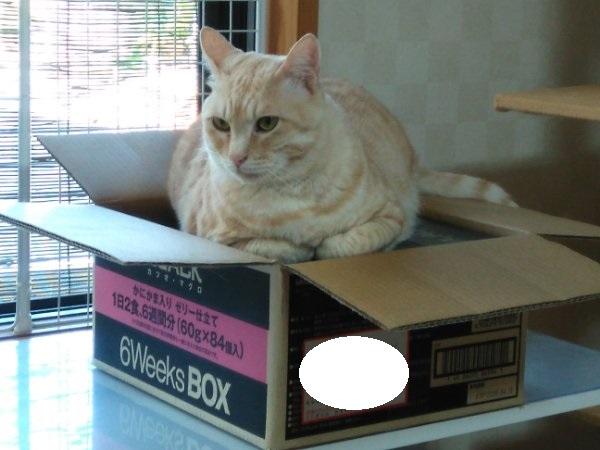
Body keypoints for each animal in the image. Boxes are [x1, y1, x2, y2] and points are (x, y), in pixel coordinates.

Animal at [167, 27, 516, 263]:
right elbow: (277, 248)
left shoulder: (391, 216)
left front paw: (320, 245)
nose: (236, 158)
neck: (291, 195)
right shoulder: (210, 237)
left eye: (267, 124)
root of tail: (412, 155)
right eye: (221, 124)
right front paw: (299, 246)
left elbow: (342, 245)